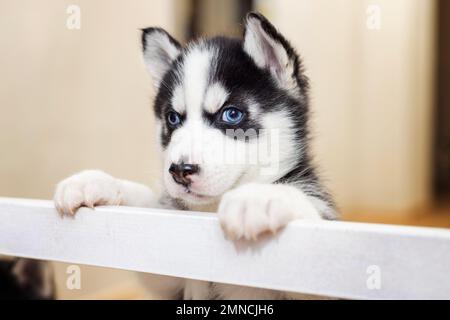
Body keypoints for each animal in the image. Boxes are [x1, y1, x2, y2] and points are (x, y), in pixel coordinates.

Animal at [52, 11, 336, 298]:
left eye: (231, 114)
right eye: (173, 118)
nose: (180, 171)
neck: (207, 213)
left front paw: (259, 197)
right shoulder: (171, 272)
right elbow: (148, 204)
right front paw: (97, 182)